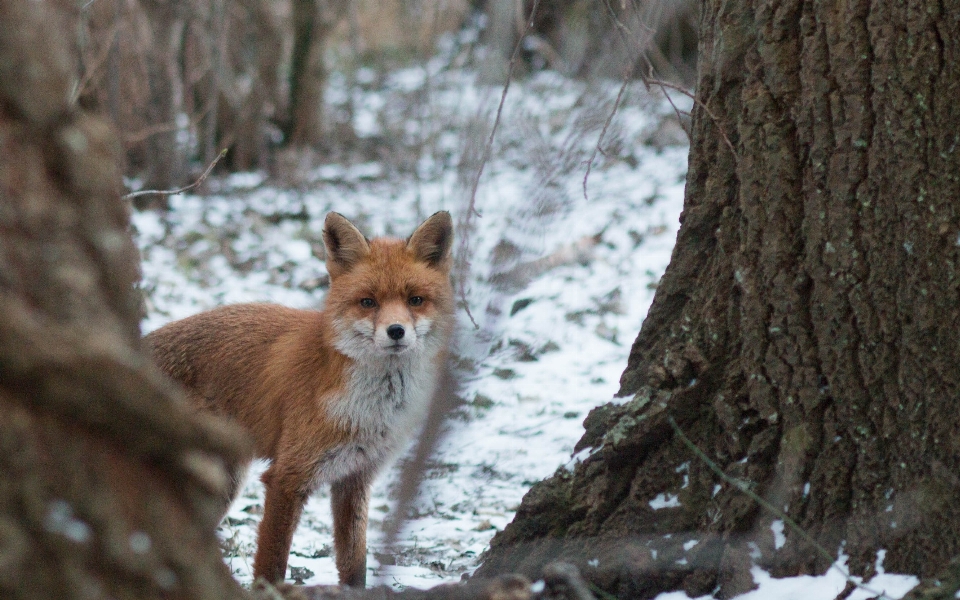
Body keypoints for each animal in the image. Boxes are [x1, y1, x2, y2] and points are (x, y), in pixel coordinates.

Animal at [144, 212, 456, 584]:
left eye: (415, 300)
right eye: (368, 302)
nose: (396, 331)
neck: (372, 411)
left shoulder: (355, 478)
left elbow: (354, 563)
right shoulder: (286, 476)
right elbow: (271, 564)